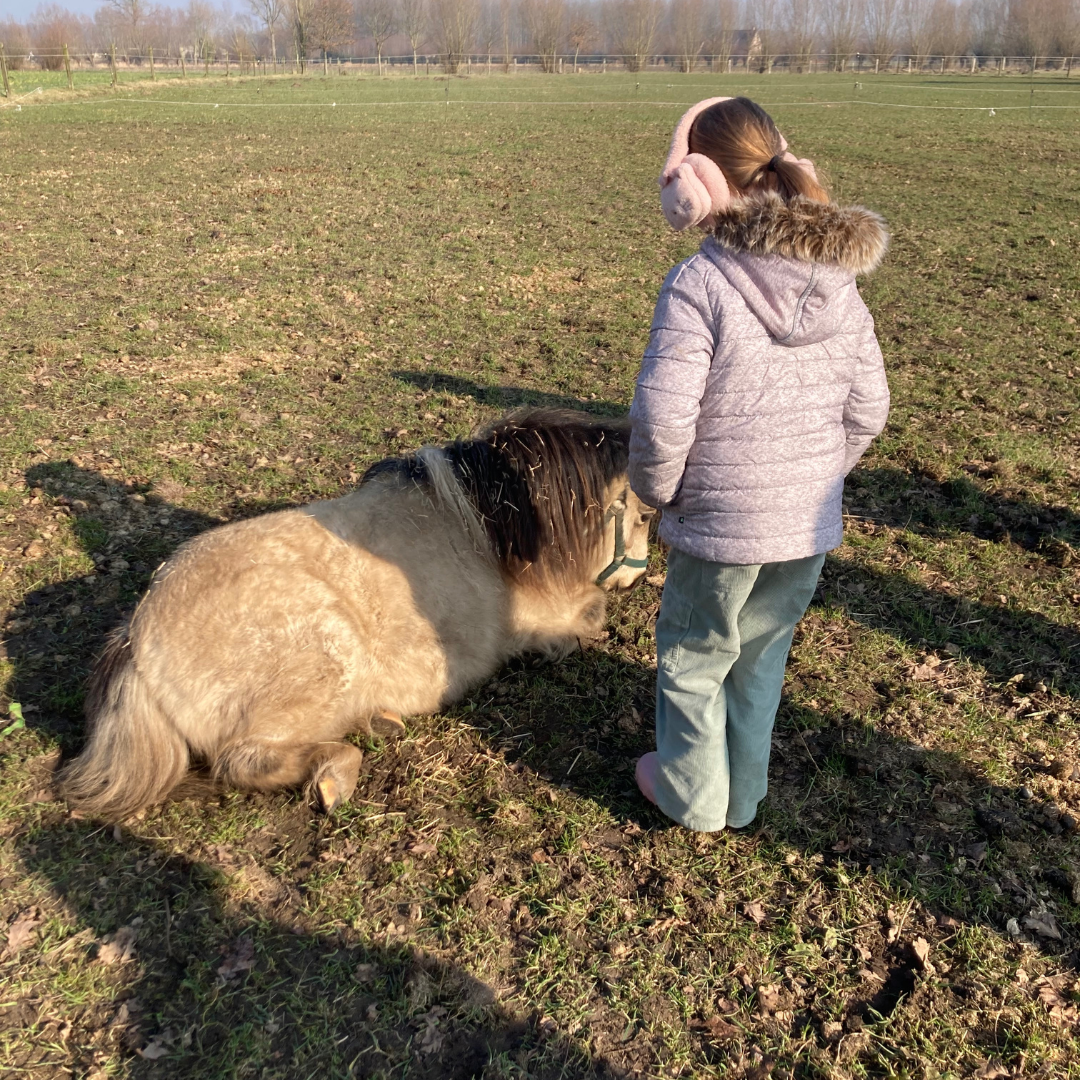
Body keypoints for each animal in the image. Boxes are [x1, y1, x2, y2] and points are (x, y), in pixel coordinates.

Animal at [57, 409, 654, 821]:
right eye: (646, 516)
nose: (640, 577)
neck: (491, 528)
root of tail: (136, 644)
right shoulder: (548, 618)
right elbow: (585, 622)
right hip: (330, 652)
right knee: (242, 760)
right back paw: (335, 772)